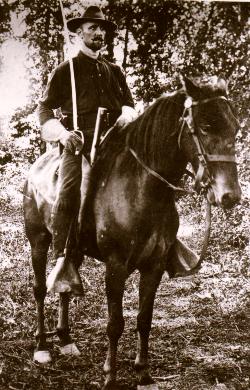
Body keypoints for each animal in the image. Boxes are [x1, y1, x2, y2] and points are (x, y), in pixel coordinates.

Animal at [23, 77, 240, 390]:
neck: (142, 189)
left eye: (234, 127)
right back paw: (42, 347)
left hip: (72, 249)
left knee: (65, 284)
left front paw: (144, 374)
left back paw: (65, 339)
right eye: (205, 127)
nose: (229, 196)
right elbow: (115, 324)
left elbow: (143, 319)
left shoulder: (154, 266)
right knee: (40, 289)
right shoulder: (115, 268)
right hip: (38, 240)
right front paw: (110, 377)